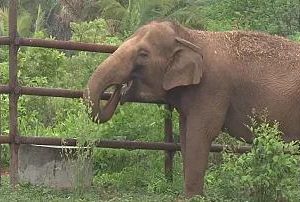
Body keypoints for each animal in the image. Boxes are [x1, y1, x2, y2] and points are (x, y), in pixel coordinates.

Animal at [84, 20, 300, 197]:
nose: (119, 88)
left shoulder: (212, 88)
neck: (189, 36)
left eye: (143, 54)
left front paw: (193, 197)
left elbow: (201, 133)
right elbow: (186, 135)